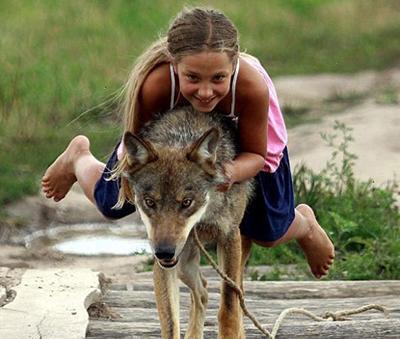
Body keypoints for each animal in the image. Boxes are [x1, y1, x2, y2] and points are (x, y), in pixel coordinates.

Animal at [122, 105, 253, 338]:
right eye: (150, 202)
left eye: (186, 202)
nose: (164, 252)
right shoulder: (164, 264)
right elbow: (170, 323)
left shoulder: (229, 237)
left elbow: (228, 310)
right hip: (183, 263)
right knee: (202, 290)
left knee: (237, 295)